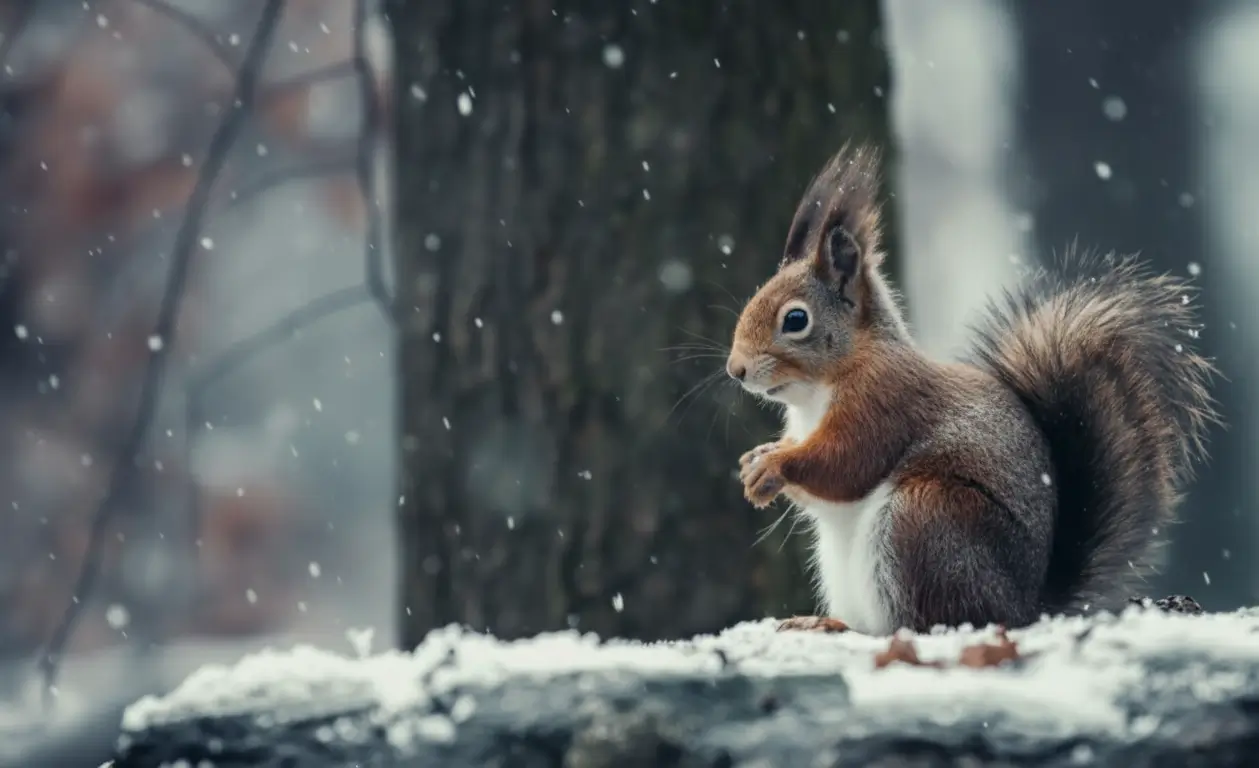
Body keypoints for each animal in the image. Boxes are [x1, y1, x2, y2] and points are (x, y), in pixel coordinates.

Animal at [726, 143, 1218, 636]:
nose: (736, 370)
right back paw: (822, 621)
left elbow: (845, 462)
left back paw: (845, 626)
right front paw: (756, 459)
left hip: (924, 519)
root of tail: (1024, 609)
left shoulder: (885, 400)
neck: (818, 390)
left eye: (796, 319)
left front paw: (775, 465)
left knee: (925, 622)